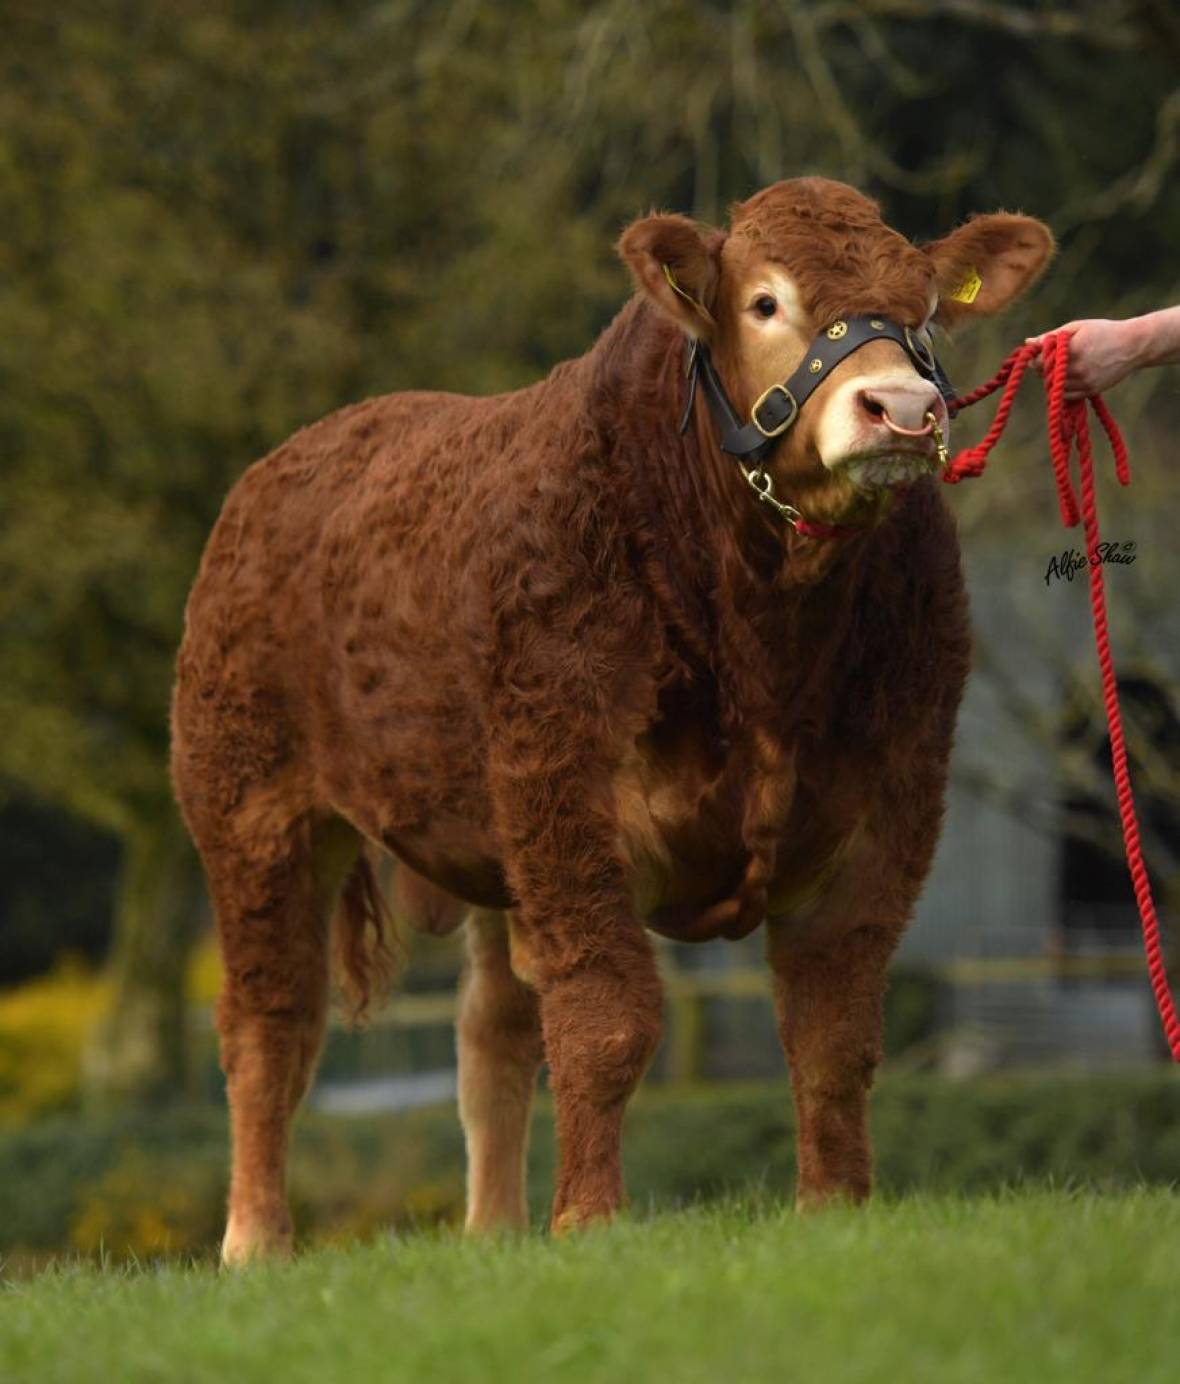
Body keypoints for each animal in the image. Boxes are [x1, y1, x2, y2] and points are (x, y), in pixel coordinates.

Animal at [172, 178, 1051, 1262]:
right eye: (764, 302)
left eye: (925, 311)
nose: (903, 407)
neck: (768, 632)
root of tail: (300, 453)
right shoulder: (568, 795)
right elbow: (607, 1018)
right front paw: (589, 1218)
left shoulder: (890, 804)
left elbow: (834, 1030)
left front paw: (835, 1205)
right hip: (252, 809)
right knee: (272, 1025)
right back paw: (257, 1241)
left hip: (488, 841)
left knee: (491, 1033)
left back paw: (494, 1232)